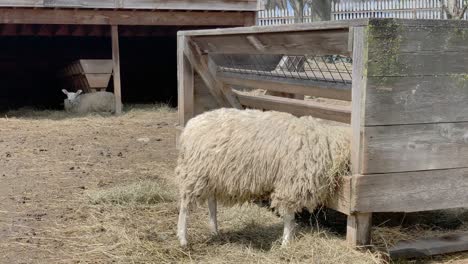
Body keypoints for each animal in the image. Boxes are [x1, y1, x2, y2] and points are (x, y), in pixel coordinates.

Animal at [176, 108, 352, 248]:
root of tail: (190, 125)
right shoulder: (291, 183)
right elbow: (289, 216)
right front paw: (286, 242)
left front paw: (288, 239)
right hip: (195, 172)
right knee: (185, 205)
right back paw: (183, 238)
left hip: (212, 174)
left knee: (211, 201)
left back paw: (214, 230)